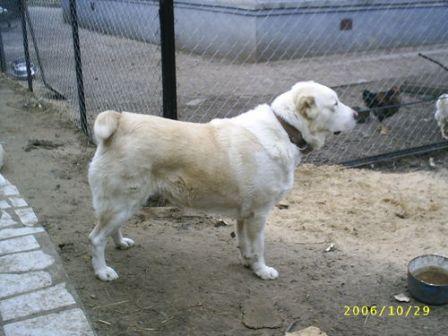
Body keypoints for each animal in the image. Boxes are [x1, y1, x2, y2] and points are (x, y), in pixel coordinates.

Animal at [89, 80, 358, 280]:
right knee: (96, 238)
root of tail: (120, 120)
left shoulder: (244, 214)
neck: (285, 129)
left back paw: (120, 243)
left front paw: (249, 264)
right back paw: (102, 271)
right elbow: (259, 246)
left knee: (110, 229)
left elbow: (244, 243)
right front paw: (262, 270)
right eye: (335, 103)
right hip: (122, 201)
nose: (357, 114)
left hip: (127, 202)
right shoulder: (259, 214)